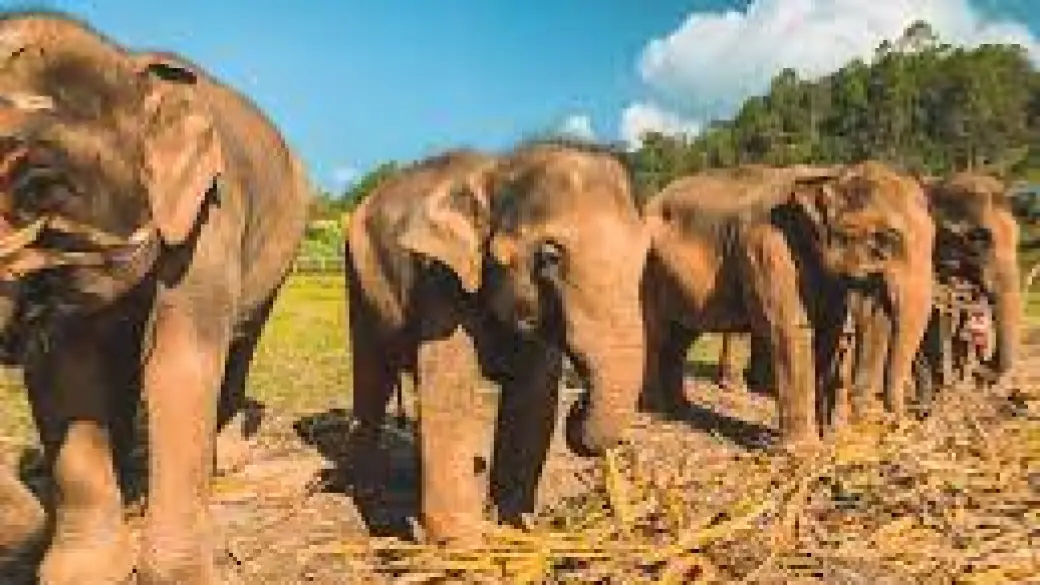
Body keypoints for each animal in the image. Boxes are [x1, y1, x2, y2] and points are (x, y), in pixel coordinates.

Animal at [0, 13, 308, 585]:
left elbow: (180, 361)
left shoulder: (212, 210)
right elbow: (67, 375)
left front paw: (178, 575)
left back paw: (224, 459)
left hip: (284, 243)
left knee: (241, 340)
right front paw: (84, 572)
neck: (128, 62)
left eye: (39, 184)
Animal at [345, 143, 648, 544]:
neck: (499, 170)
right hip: (356, 278)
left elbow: (533, 402)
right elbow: (451, 398)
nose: (580, 401)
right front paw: (464, 547)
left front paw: (515, 528)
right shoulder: (442, 282)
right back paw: (364, 490)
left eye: (646, 256)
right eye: (550, 256)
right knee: (371, 380)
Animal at [640, 162, 935, 446]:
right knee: (656, 334)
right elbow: (791, 330)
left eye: (934, 237)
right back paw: (652, 409)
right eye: (884, 238)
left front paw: (831, 439)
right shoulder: (767, 249)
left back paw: (679, 409)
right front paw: (804, 450)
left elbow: (830, 333)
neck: (830, 173)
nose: (903, 420)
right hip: (646, 270)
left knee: (679, 338)